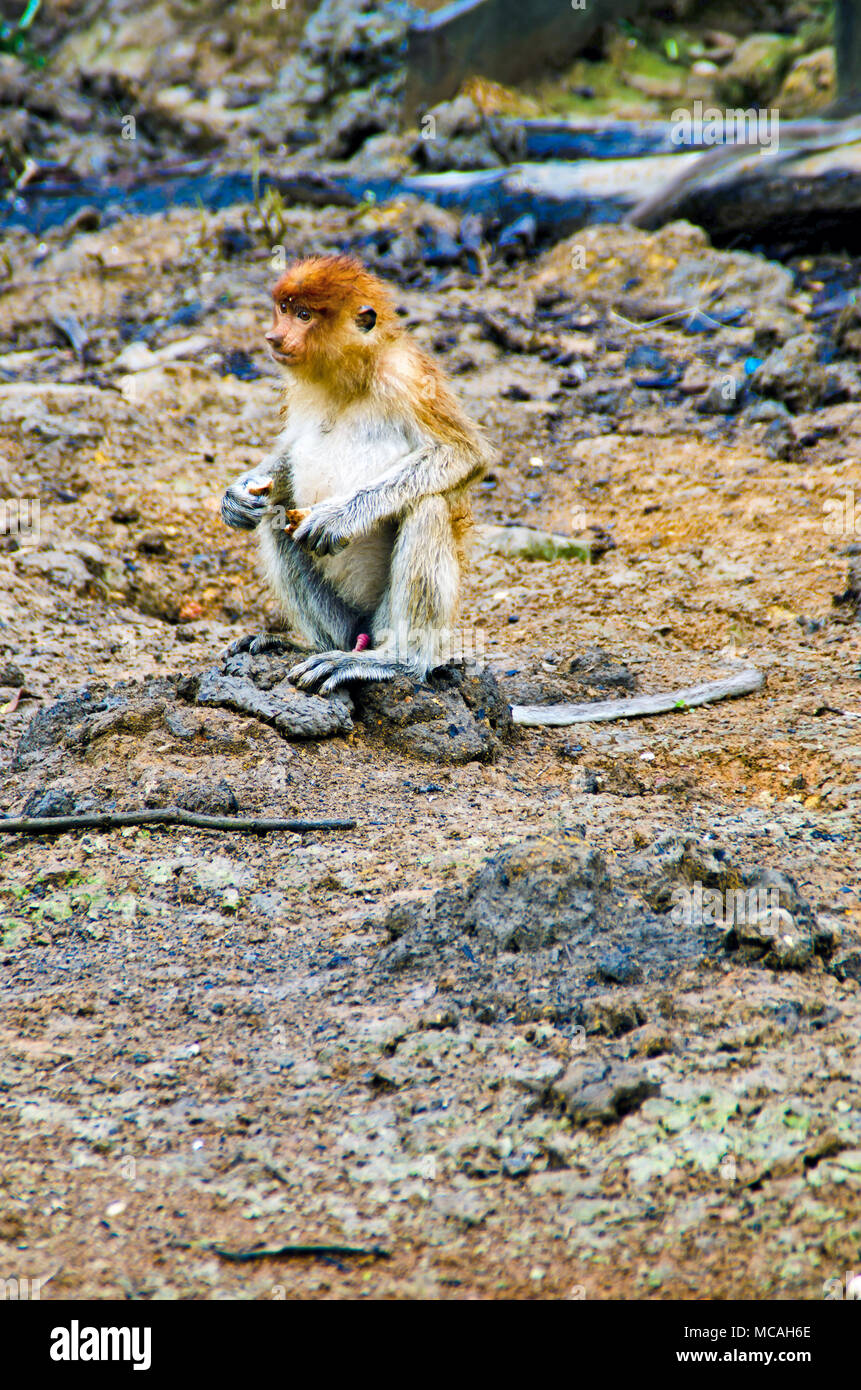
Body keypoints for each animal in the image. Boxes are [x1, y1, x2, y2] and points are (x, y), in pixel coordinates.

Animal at [221, 254, 494, 694]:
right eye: (284, 308)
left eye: (304, 315)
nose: (274, 337)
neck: (348, 378)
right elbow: (288, 457)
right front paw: (237, 496)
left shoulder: (407, 377)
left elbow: (463, 452)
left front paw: (336, 518)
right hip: (348, 618)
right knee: (277, 514)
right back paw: (314, 645)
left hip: (385, 617)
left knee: (427, 506)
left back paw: (394, 661)